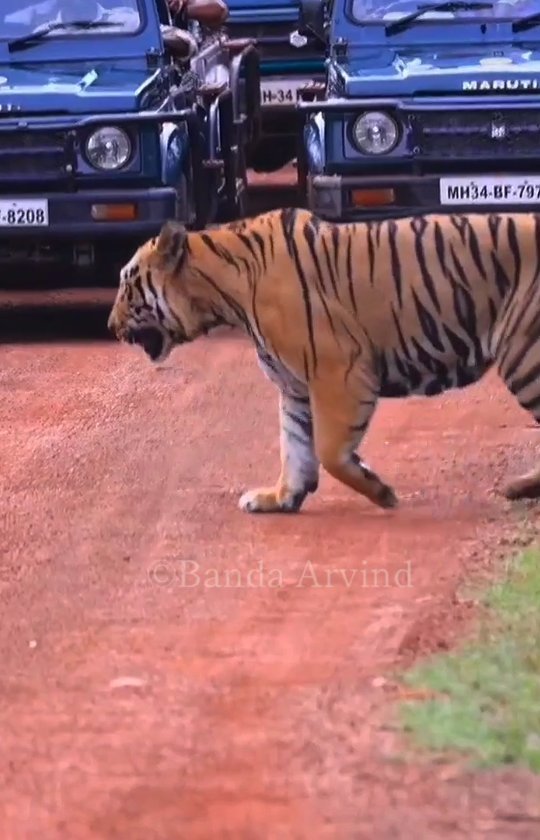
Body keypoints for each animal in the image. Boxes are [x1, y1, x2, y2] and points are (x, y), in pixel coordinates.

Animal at [106, 207, 540, 516]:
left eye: (127, 285)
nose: (110, 326)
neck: (226, 293)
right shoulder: (295, 385)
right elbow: (295, 446)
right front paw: (279, 498)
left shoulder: (340, 371)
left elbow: (328, 451)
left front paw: (381, 492)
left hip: (525, 356)